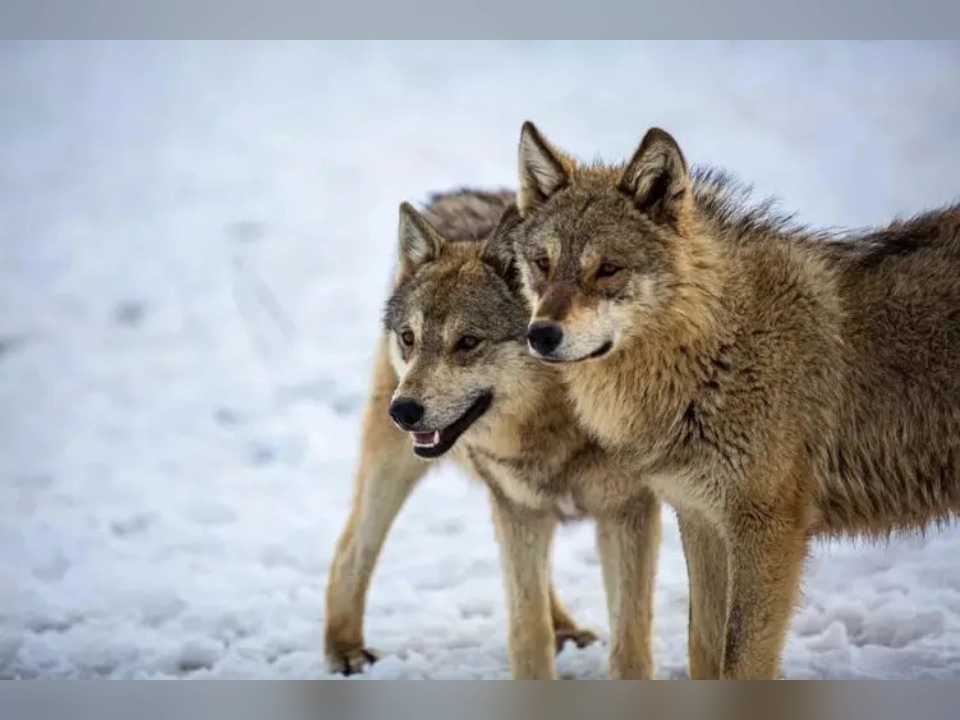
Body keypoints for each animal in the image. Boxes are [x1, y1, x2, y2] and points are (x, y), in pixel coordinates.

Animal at [322, 188, 660, 676]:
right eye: (409, 337)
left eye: (468, 342)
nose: (403, 411)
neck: (557, 422)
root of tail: (460, 196)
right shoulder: (518, 505)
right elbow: (527, 631)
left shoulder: (629, 512)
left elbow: (631, 639)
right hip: (394, 467)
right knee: (351, 548)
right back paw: (344, 650)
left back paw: (566, 628)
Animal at [506, 121, 960, 676]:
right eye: (542, 264)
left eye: (608, 269)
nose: (540, 335)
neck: (718, 350)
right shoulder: (701, 519)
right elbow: (704, 647)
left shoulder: (767, 531)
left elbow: (741, 661)